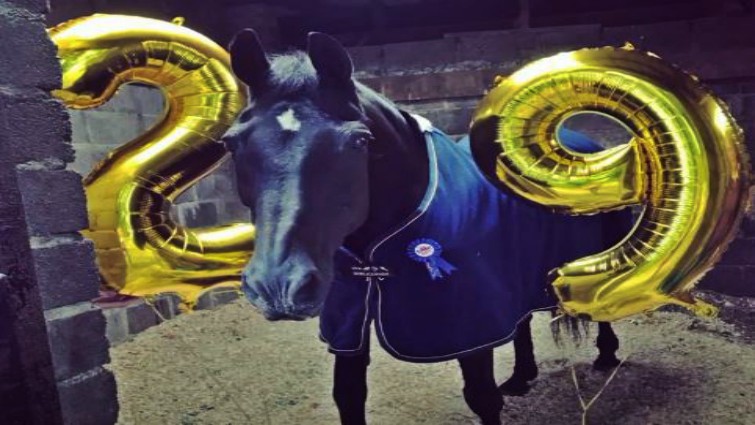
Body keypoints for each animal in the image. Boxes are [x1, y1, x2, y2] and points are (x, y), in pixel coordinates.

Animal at [223, 29, 631, 425]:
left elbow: (482, 397)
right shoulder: (349, 324)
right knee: (523, 320)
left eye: (359, 140)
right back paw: (521, 377)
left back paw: (606, 357)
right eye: (230, 142)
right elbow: (349, 397)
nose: (277, 286)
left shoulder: (469, 324)